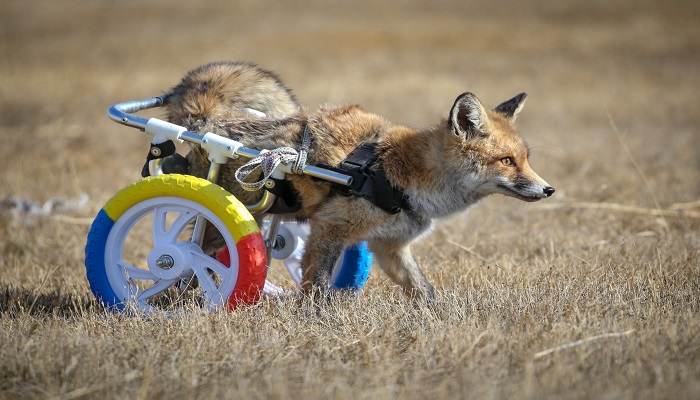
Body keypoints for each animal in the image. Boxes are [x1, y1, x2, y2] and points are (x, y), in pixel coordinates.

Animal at [164, 61, 552, 300]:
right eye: (506, 161)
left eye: (526, 159)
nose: (549, 190)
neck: (401, 175)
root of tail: (211, 124)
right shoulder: (329, 229)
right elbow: (317, 291)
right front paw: (315, 329)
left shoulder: (391, 247)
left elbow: (424, 290)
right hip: (223, 221)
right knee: (193, 256)